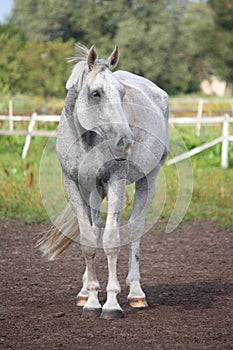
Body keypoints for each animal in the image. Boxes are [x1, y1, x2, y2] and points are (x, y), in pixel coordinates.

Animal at [38, 44, 169, 320]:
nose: (125, 141)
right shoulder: (74, 186)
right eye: (95, 93)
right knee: (95, 226)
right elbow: (89, 241)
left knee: (135, 229)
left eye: (121, 92)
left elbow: (110, 242)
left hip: (148, 180)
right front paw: (90, 300)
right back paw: (85, 291)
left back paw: (136, 293)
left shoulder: (116, 181)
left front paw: (110, 304)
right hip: (94, 191)